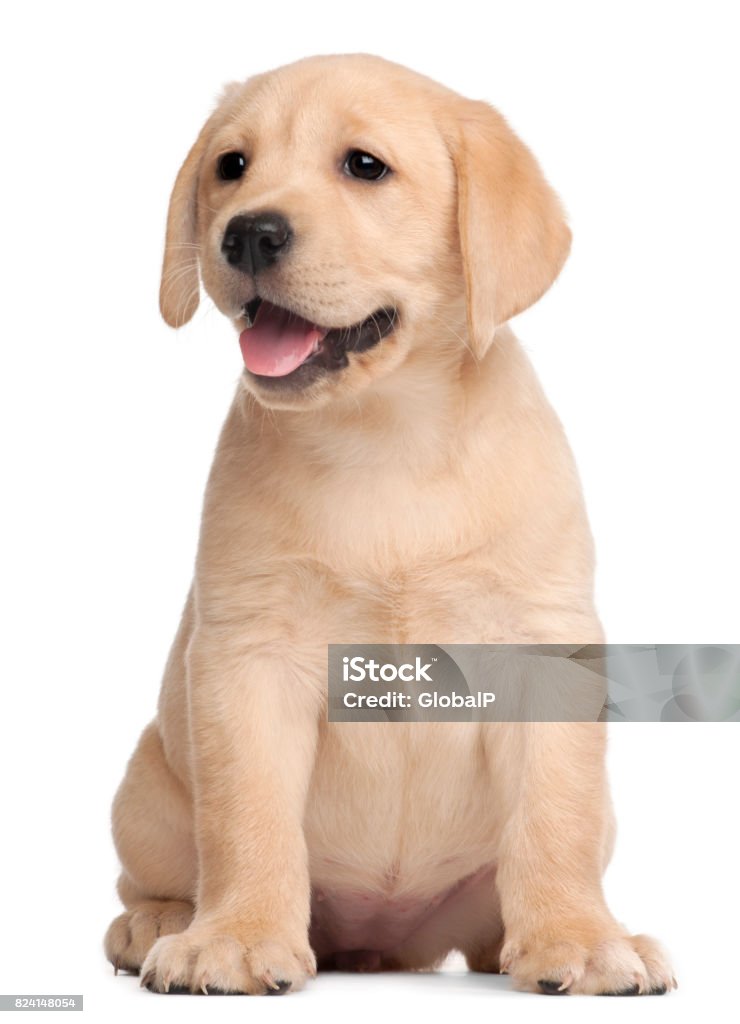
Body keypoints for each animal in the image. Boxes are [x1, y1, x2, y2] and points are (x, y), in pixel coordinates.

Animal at [104, 51, 675, 995]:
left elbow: (554, 815)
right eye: (232, 166)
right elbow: (246, 818)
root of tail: (381, 941)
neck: (386, 435)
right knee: (157, 869)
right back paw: (158, 920)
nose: (248, 235)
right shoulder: (248, 655)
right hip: (146, 786)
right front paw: (237, 934)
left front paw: (580, 937)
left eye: (364, 166)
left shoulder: (543, 647)